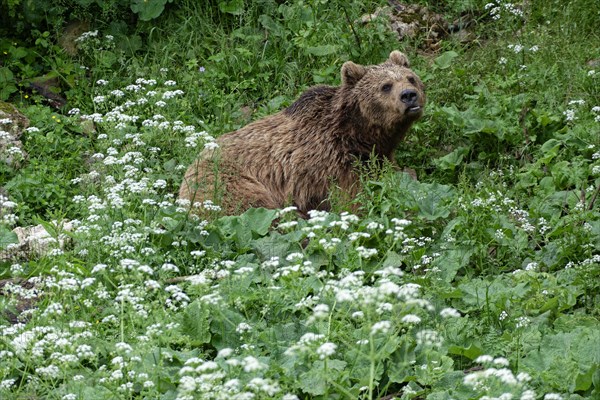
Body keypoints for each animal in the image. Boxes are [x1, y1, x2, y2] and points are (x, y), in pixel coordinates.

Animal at [179, 50, 426, 216]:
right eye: (385, 86)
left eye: (410, 78)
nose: (409, 95)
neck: (358, 133)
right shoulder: (336, 166)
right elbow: (353, 199)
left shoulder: (375, 156)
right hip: (228, 182)